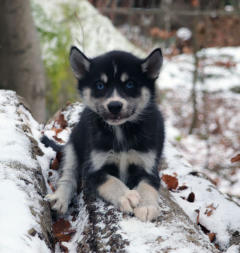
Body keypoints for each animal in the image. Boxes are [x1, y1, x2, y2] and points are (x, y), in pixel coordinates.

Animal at [45, 47, 164, 221]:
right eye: (100, 85)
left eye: (130, 84)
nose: (114, 106)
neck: (120, 130)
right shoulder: (93, 171)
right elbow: (111, 181)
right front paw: (126, 196)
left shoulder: (149, 167)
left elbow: (147, 186)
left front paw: (146, 206)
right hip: (72, 146)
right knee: (68, 176)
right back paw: (59, 198)